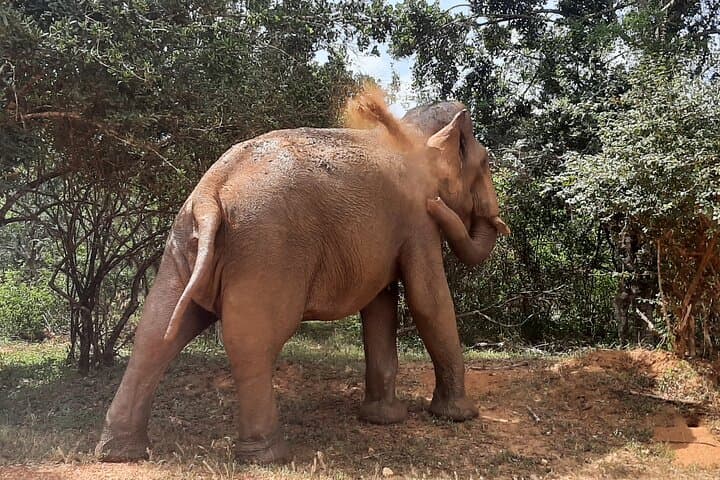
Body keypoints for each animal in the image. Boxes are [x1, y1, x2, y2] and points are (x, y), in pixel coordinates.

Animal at [95, 92, 509, 464]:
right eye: (486, 162)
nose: (440, 206)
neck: (407, 130)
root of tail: (212, 192)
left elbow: (380, 306)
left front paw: (383, 419)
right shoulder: (418, 222)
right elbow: (429, 301)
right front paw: (459, 416)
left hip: (184, 245)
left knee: (156, 331)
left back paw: (120, 452)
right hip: (266, 250)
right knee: (253, 340)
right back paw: (265, 456)